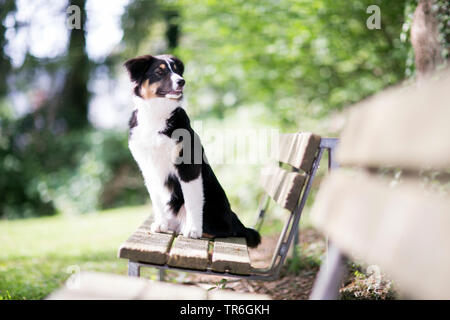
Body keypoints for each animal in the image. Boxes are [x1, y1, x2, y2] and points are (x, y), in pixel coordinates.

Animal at [125, 54, 262, 248]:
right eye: (159, 71)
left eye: (177, 70)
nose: (181, 81)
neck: (156, 116)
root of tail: (237, 222)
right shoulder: (147, 168)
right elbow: (156, 200)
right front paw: (160, 224)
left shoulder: (188, 167)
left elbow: (192, 200)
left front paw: (193, 230)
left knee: (223, 231)